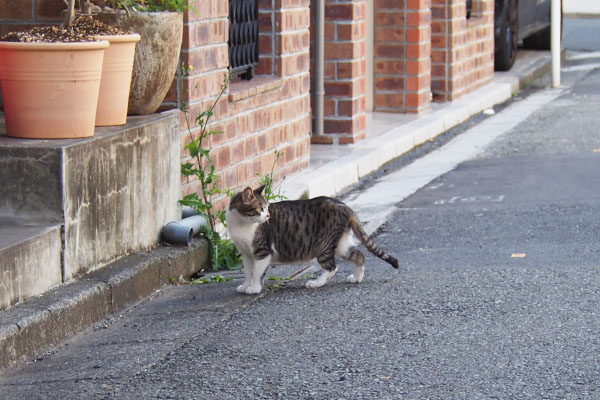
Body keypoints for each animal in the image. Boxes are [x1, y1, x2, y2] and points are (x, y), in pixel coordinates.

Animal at [225, 184, 398, 294]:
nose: (268, 216)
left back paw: (316, 283)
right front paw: (245, 286)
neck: (241, 224)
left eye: (266, 208)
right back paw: (356, 278)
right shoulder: (246, 254)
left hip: (323, 244)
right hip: (341, 244)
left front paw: (254, 288)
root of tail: (347, 207)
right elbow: (248, 272)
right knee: (359, 256)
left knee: (332, 267)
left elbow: (256, 273)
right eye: (260, 209)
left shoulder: (262, 252)